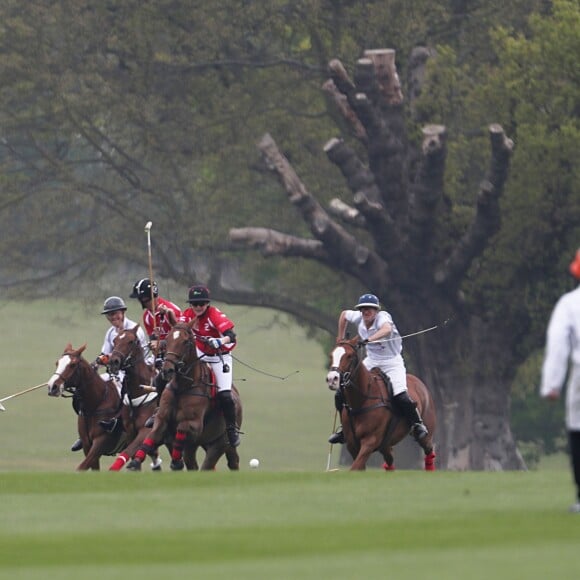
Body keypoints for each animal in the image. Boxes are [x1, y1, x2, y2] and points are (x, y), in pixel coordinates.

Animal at [47, 344, 125, 472]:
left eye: (73, 365)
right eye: (57, 363)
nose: (52, 387)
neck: (96, 405)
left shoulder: (100, 443)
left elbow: (81, 468)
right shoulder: (87, 445)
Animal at [127, 320, 242, 474]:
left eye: (186, 341)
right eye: (167, 339)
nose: (167, 370)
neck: (182, 387)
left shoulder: (194, 424)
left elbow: (181, 428)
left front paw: (176, 462)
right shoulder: (162, 418)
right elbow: (152, 435)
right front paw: (135, 462)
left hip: (220, 443)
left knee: (213, 463)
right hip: (200, 444)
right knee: (198, 463)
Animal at [326, 340, 436, 472]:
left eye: (349, 356)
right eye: (331, 355)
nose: (332, 379)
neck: (362, 400)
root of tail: (419, 382)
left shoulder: (370, 441)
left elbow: (355, 467)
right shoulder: (352, 444)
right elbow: (358, 467)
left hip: (425, 434)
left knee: (429, 449)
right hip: (385, 444)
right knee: (390, 458)